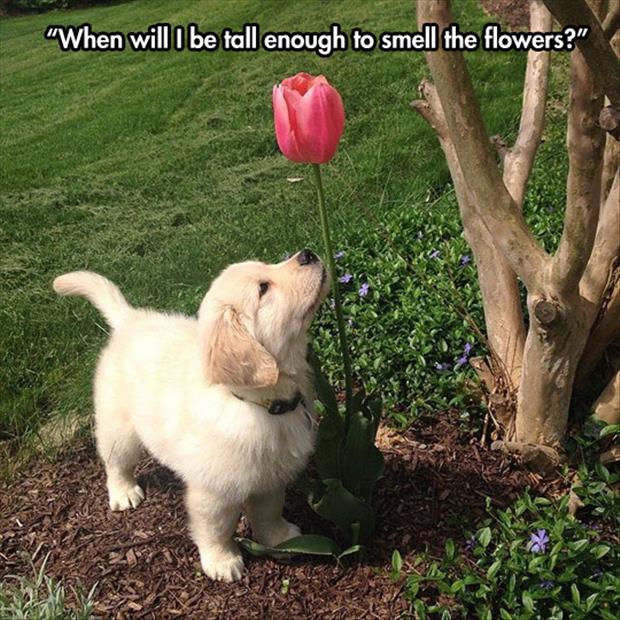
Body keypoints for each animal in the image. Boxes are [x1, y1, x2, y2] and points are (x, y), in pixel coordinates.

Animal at [54, 248, 330, 580]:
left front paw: (281, 540)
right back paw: (123, 492)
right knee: (115, 460)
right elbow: (216, 529)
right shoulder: (214, 492)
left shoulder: (270, 477)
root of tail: (130, 319)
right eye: (263, 288)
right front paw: (222, 562)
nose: (308, 254)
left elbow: (269, 511)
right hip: (119, 425)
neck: (258, 404)